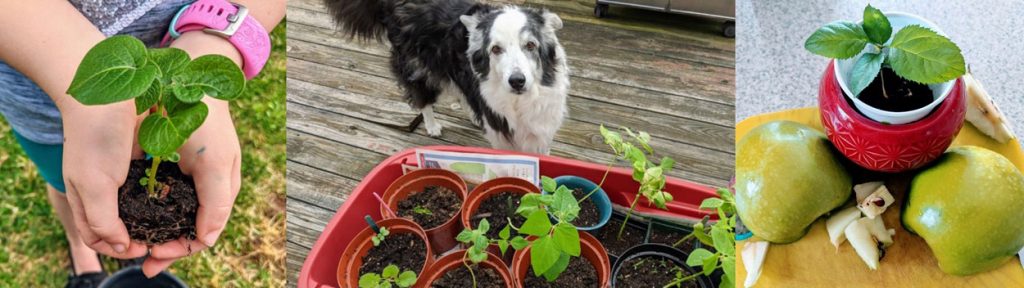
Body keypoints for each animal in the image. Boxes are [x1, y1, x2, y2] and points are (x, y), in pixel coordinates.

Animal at [325, 0, 573, 153]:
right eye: (495, 49)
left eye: (530, 45)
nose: (517, 81)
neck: (519, 101)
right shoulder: (501, 130)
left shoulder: (542, 126)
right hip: (417, 67)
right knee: (423, 98)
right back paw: (432, 125)